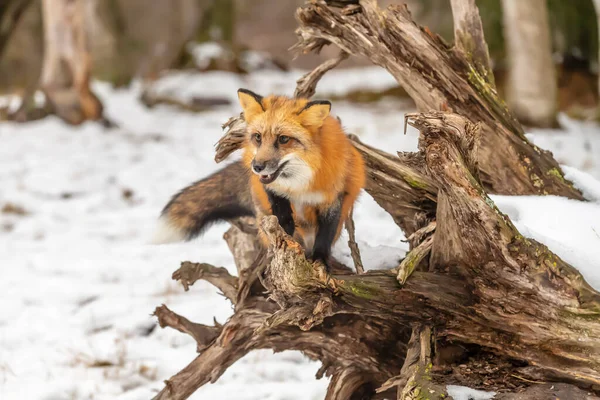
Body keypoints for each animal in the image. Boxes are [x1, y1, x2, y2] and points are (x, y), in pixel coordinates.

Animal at [151, 88, 366, 268]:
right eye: (258, 137)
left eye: (283, 139)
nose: (257, 167)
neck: (298, 184)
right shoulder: (273, 191)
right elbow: (281, 213)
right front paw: (285, 234)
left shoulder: (332, 199)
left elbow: (325, 234)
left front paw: (320, 260)